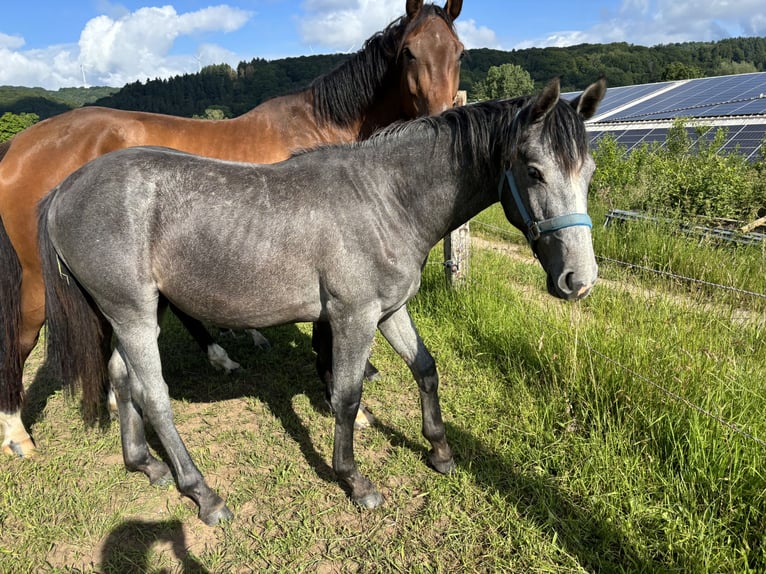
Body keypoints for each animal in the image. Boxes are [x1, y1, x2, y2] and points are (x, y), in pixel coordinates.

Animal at [0, 0, 468, 460]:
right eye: (409, 53)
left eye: (460, 52)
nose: (442, 121)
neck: (320, 126)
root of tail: (18, 145)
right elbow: (326, 339)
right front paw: (338, 393)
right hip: (40, 282)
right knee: (19, 341)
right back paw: (17, 431)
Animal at [40, 77, 608, 528]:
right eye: (533, 170)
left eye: (589, 171)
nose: (579, 281)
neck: (385, 199)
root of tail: (63, 190)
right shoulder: (353, 318)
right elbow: (347, 397)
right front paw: (355, 481)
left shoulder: (389, 311)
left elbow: (425, 368)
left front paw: (441, 451)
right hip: (133, 314)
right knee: (155, 397)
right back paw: (204, 494)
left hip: (140, 312)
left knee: (122, 379)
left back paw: (144, 464)